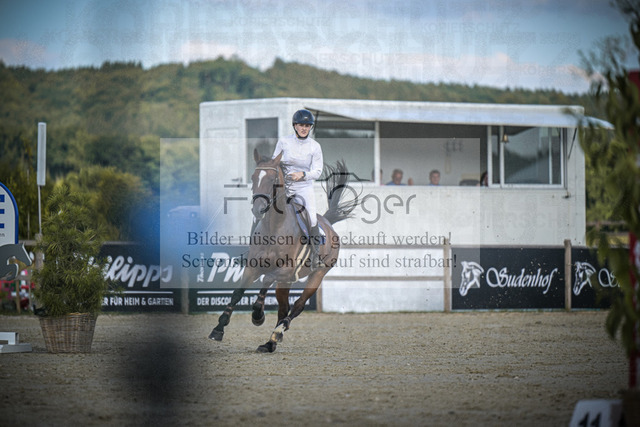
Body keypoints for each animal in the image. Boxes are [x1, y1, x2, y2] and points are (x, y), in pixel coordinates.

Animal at [208, 149, 355, 352]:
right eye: (253, 178)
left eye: (272, 179)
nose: (258, 209)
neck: (274, 227)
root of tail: (328, 223)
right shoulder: (252, 268)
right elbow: (237, 293)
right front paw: (218, 328)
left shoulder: (285, 270)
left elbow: (266, 279)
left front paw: (258, 315)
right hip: (285, 282)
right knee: (283, 309)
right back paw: (270, 343)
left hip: (316, 275)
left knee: (298, 306)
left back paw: (278, 332)